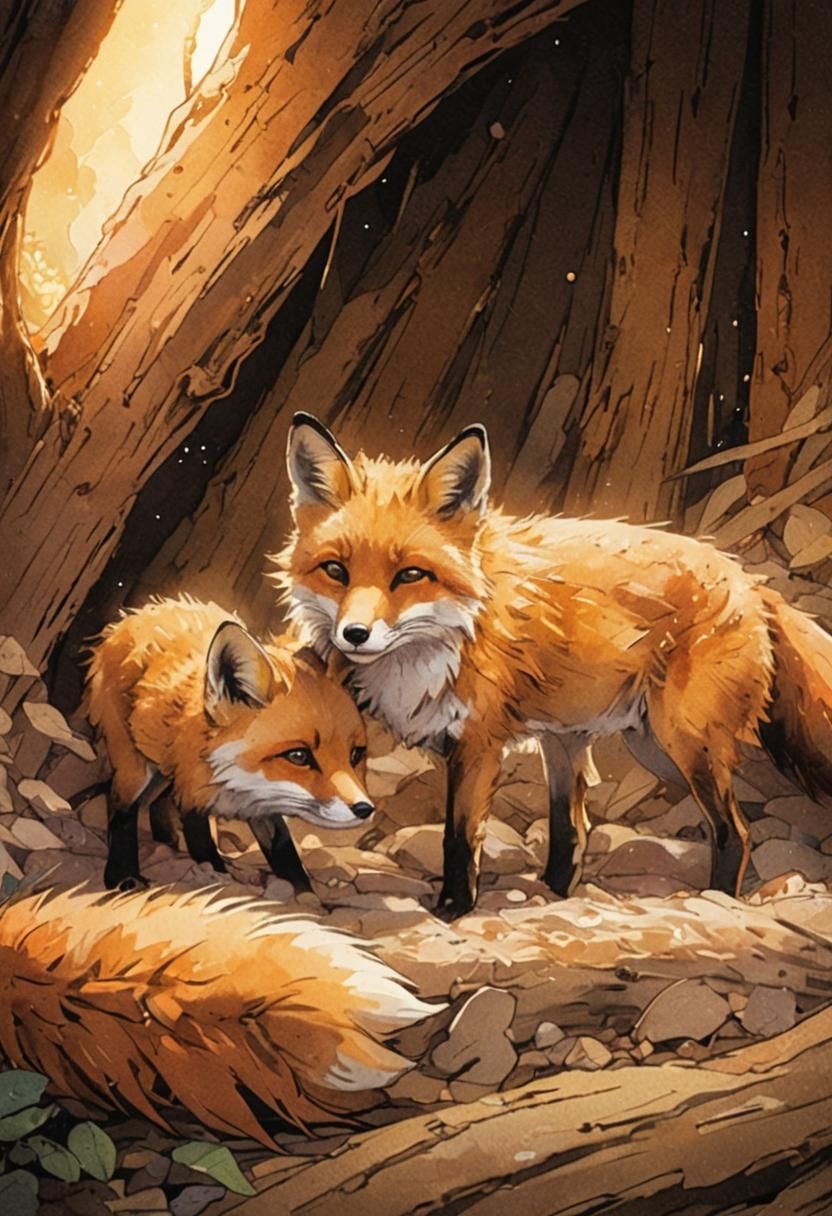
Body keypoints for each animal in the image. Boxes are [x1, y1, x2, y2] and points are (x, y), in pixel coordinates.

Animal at [86, 595, 374, 893]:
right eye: (298, 756)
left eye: (356, 755)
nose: (364, 809)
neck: (235, 784)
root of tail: (133, 617)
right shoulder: (192, 794)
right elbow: (203, 847)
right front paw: (221, 881)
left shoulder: (262, 805)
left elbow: (284, 851)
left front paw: (304, 894)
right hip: (135, 766)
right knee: (119, 805)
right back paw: (123, 874)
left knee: (157, 804)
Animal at [274, 412, 832, 919]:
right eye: (335, 571)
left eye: (410, 575)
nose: (354, 634)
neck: (449, 636)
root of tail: (750, 582)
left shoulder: (478, 743)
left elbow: (460, 838)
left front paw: (453, 907)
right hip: (602, 744)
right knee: (576, 832)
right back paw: (554, 893)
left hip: (681, 742)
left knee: (734, 831)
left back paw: (716, 900)